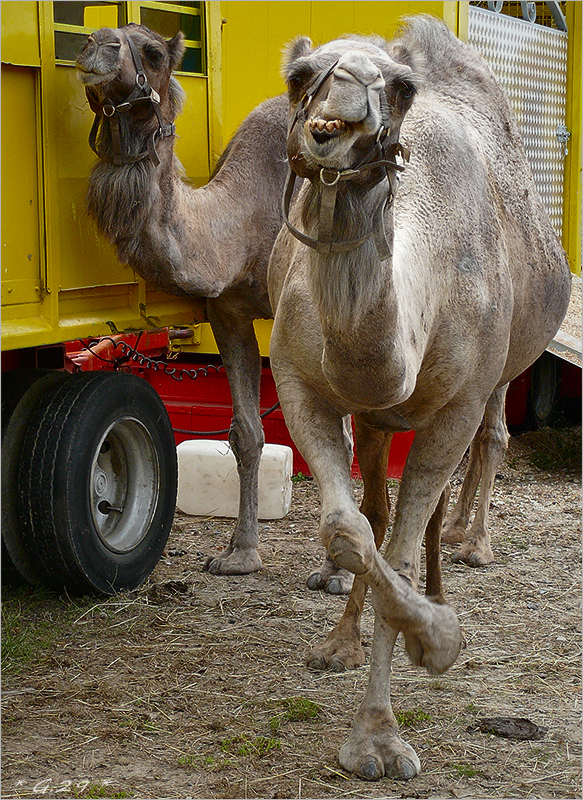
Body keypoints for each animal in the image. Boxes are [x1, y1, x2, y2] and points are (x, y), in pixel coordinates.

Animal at [270, 15, 572, 780]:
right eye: (299, 75)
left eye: (401, 89)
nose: (342, 105)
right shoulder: (299, 382)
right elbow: (349, 529)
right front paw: (386, 642)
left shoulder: (459, 400)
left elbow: (400, 548)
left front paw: (396, 707)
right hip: (380, 416)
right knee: (378, 509)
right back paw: (351, 635)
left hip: (501, 372)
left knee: (485, 444)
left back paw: (458, 563)